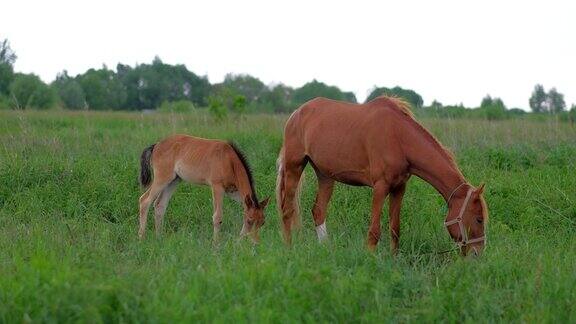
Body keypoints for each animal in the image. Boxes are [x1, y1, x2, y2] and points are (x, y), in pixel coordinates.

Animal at [138, 134, 270, 243]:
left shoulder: (235, 193)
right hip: (162, 178)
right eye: (250, 221)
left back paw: (159, 238)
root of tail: (156, 145)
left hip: (174, 181)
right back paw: (141, 237)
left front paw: (240, 239)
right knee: (144, 201)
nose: (255, 242)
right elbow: (217, 217)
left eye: (263, 222)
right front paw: (216, 244)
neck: (229, 160)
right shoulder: (217, 187)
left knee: (159, 205)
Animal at [276, 96, 488, 256]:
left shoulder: (399, 189)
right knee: (287, 209)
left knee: (318, 211)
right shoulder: (380, 187)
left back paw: (325, 249)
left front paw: (393, 259)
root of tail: (296, 113)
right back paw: (288, 248)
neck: (399, 138)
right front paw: (370, 260)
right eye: (479, 219)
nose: (477, 253)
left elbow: (395, 228)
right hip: (294, 166)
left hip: (325, 175)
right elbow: (374, 231)